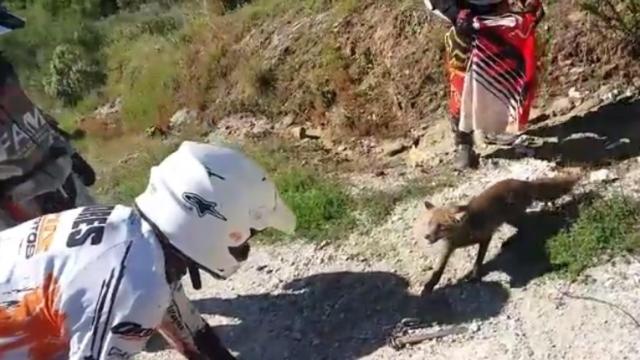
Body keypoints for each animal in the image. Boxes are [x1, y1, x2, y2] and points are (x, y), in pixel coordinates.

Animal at [412, 173, 584, 294]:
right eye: (430, 224)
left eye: (441, 226)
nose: (427, 236)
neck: (462, 237)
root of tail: (523, 182)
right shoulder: (448, 248)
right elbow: (438, 271)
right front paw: (428, 287)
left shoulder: (486, 238)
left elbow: (478, 261)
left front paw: (475, 276)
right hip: (511, 219)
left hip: (512, 217)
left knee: (528, 226)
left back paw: (514, 240)